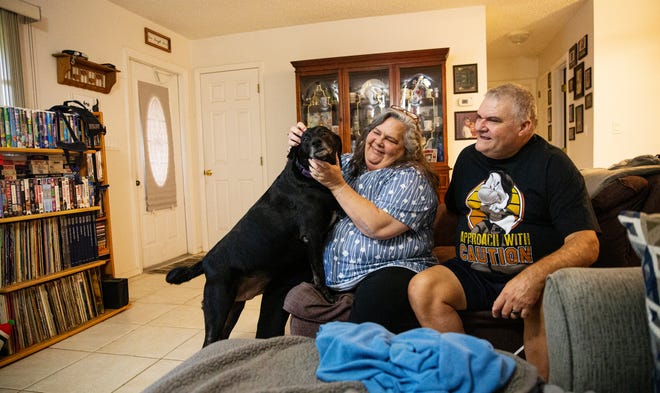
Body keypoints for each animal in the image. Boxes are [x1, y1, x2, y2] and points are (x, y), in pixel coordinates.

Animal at [165, 126, 342, 346]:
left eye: (324, 132)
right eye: (305, 139)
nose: (317, 142)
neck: (308, 178)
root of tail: (205, 262)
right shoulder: (312, 235)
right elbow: (319, 272)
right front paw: (328, 296)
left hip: (234, 307)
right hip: (218, 306)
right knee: (208, 342)